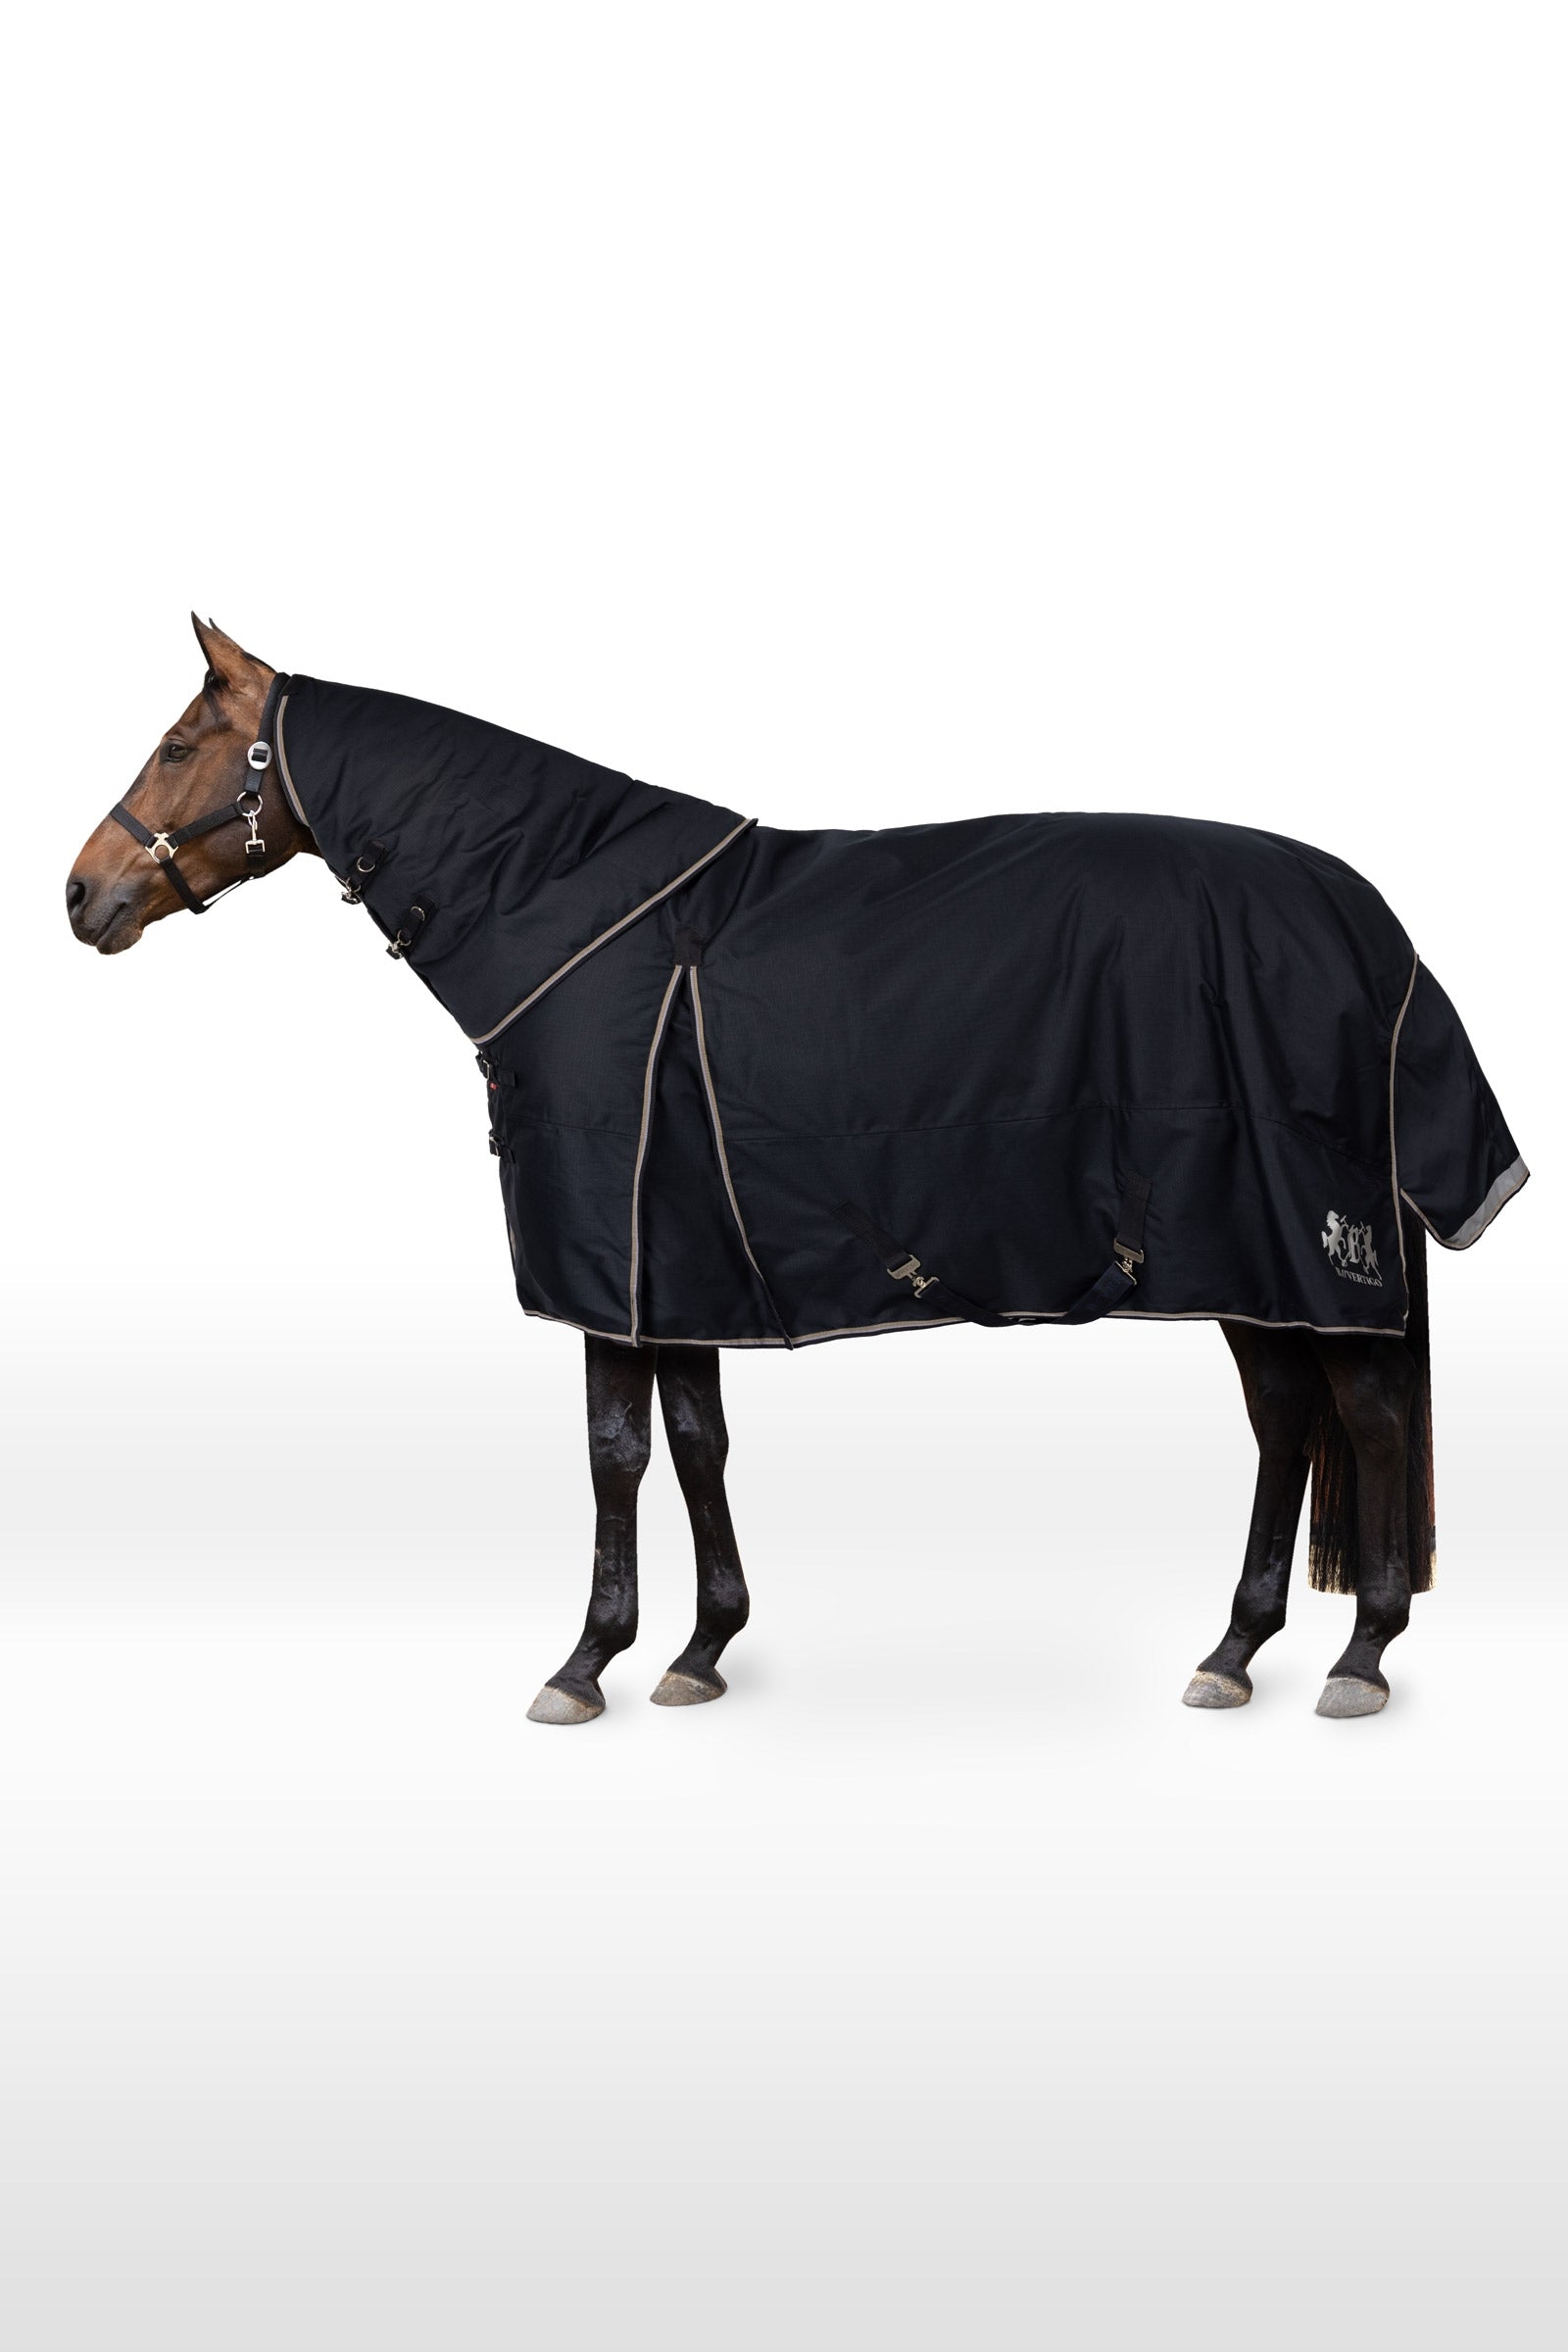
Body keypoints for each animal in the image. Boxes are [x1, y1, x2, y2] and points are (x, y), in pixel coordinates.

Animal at [66, 618, 1528, 1725]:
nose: (83, 896)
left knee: (1367, 1419)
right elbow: (694, 1442)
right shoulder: (669, 1265)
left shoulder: (610, 1266)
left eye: (183, 743)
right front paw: (701, 1650)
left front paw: (584, 1665)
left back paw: (1359, 1656)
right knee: (1286, 1420)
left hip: (1308, 1247)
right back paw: (1234, 1651)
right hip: (1241, 1257)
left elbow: (613, 1455)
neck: (571, 908)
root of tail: (1372, 928)